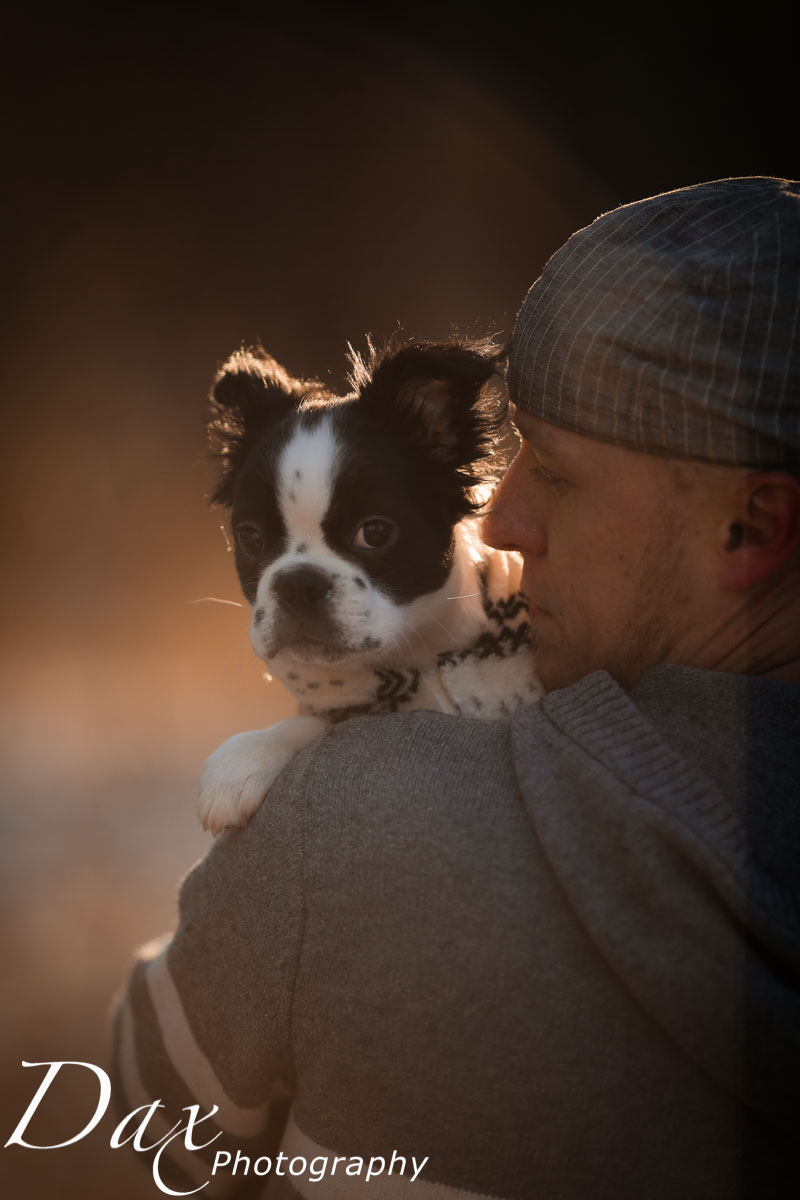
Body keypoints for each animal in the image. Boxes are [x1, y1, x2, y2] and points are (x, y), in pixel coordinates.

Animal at [197, 338, 542, 835]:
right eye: (250, 538)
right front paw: (245, 759)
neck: (418, 663)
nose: (298, 583)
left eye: (374, 533)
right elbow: (321, 720)